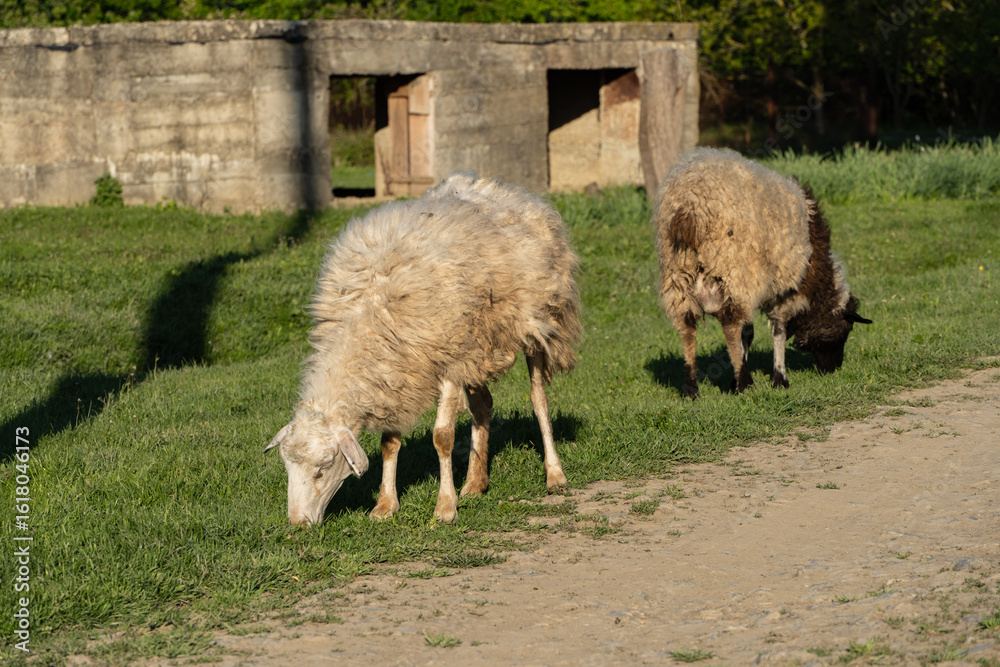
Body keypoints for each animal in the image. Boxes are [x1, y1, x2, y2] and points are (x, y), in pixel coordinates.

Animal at [265, 171, 581, 526]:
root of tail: (503, 187)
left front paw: (445, 507)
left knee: (538, 398)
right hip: (474, 345)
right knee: (483, 404)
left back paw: (555, 475)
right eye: (287, 467)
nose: (298, 524)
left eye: (323, 468)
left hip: (535, 323)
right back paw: (475, 482)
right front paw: (385, 505)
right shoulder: (395, 371)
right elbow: (389, 442)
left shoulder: (444, 360)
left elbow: (442, 437)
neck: (370, 309)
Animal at [651, 147, 871, 398]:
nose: (833, 369)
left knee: (687, 326)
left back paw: (691, 388)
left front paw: (737, 375)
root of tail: (690, 204)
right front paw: (778, 378)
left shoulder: (755, 287)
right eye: (846, 329)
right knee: (729, 326)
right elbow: (778, 330)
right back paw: (745, 384)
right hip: (732, 269)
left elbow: (748, 333)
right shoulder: (787, 287)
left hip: (677, 274)